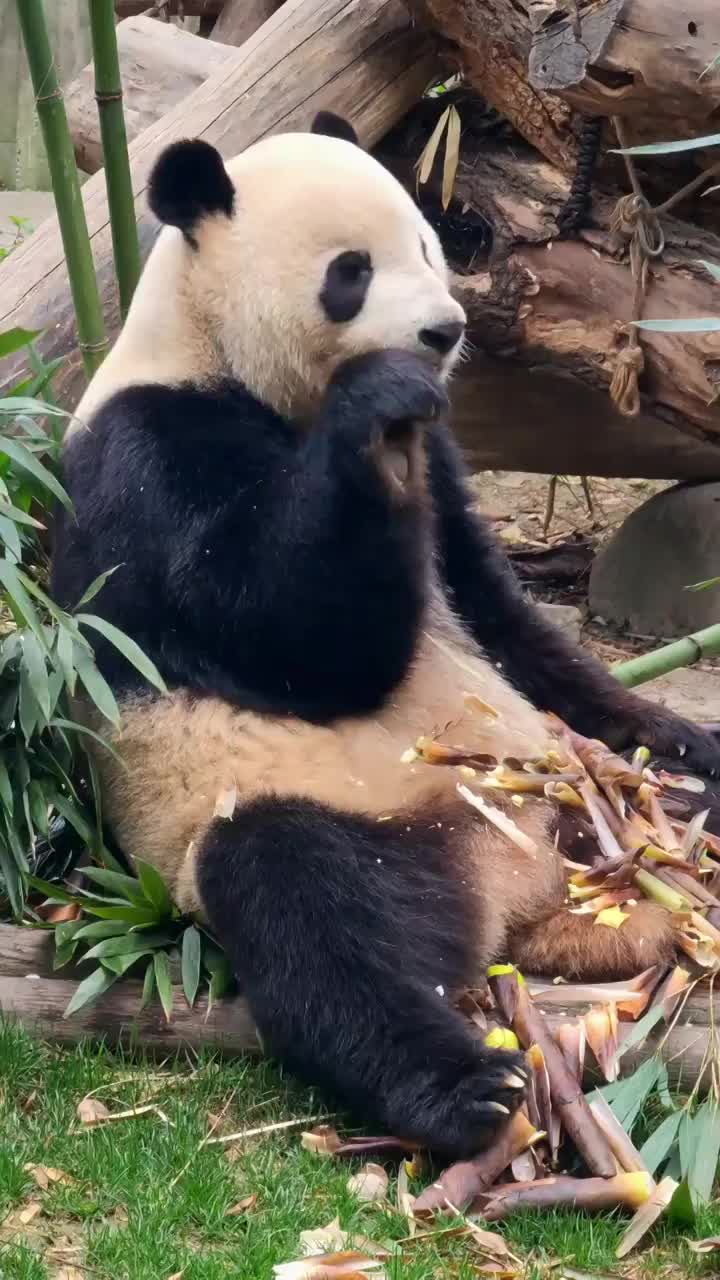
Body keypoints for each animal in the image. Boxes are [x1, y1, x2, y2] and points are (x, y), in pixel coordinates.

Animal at [51, 117, 717, 1162]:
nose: (443, 331)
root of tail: (531, 895)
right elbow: (300, 641)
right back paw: (463, 1087)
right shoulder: (147, 454)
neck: (216, 354)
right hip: (362, 821)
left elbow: (501, 618)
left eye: (436, 249)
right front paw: (377, 405)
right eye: (351, 271)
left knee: (677, 803)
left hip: (584, 791)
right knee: (316, 912)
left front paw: (677, 730)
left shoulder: (444, 476)